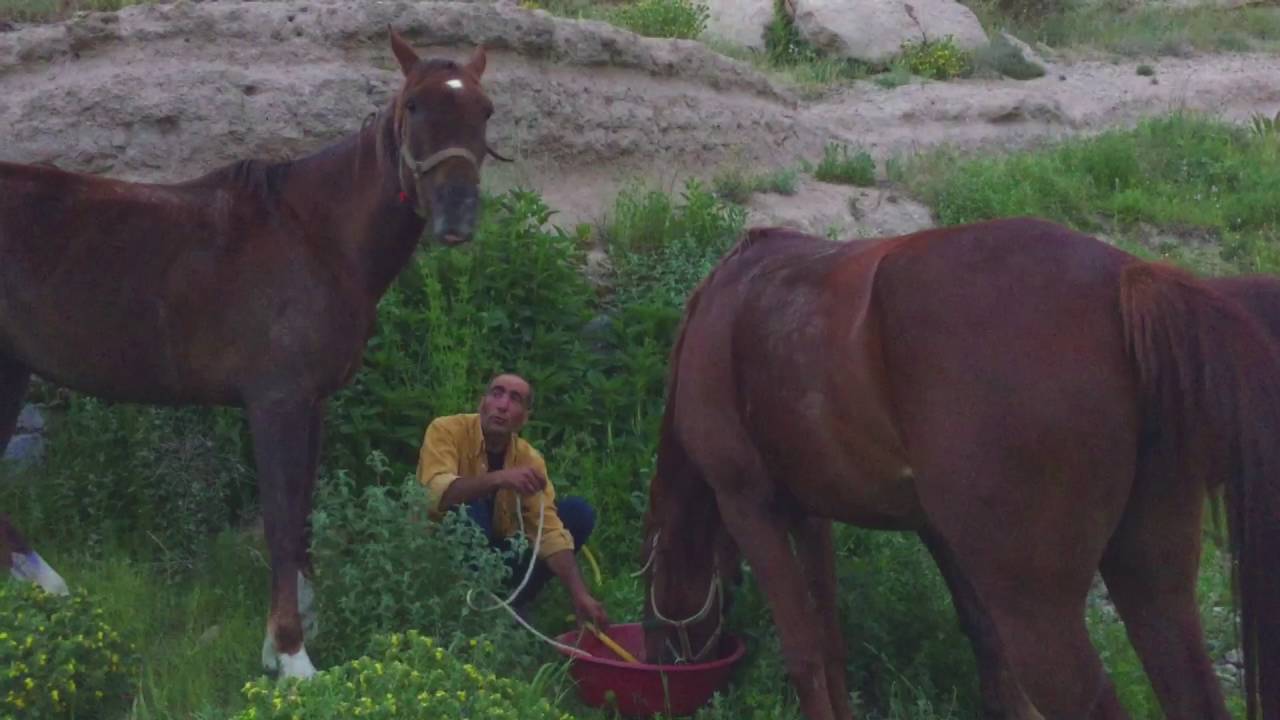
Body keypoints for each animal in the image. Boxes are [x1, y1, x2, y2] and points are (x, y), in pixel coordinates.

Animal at [0, 30, 504, 676]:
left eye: (485, 111)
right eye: (414, 106)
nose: (457, 214)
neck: (316, 237)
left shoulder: (312, 404)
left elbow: (302, 518)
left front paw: (291, 635)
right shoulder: (276, 403)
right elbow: (281, 523)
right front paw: (293, 658)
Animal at [645, 219, 1274, 717]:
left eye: (656, 599)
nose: (661, 671)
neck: (726, 307)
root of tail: (1122, 281)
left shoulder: (749, 505)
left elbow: (803, 650)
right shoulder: (831, 517)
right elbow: (848, 641)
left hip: (1039, 608)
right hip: (1153, 579)